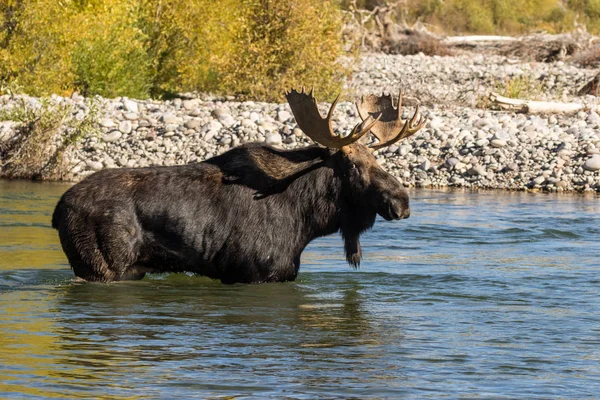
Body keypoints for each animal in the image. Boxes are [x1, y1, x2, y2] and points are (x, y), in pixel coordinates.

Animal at [52, 88, 426, 282]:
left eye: (377, 160)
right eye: (352, 165)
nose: (402, 202)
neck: (307, 220)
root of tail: (58, 210)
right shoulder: (253, 272)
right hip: (103, 268)